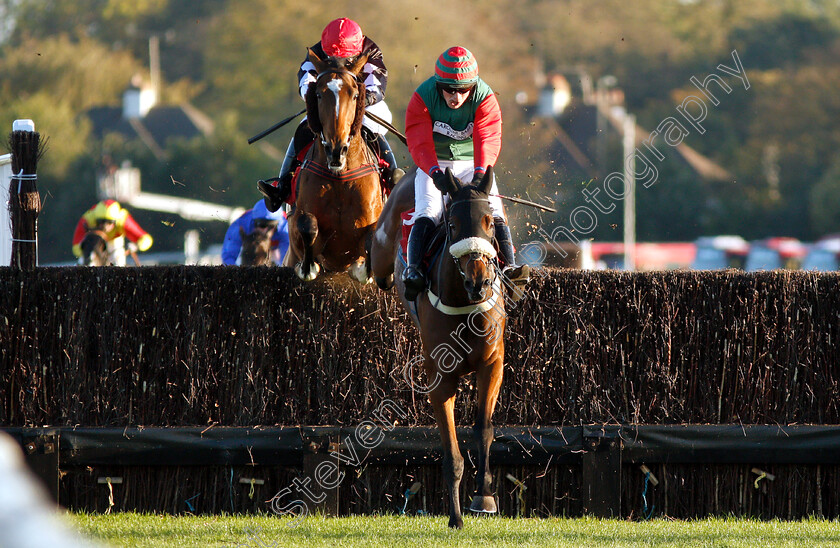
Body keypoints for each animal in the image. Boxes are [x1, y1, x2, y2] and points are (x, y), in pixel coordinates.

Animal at [286, 49, 384, 284]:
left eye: (355, 95)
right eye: (319, 95)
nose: (336, 150)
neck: (340, 178)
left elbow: (371, 239)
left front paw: (362, 271)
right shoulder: (297, 223)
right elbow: (307, 225)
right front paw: (308, 268)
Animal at [370, 166, 508, 528]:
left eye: (490, 222)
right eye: (453, 225)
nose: (479, 281)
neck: (465, 304)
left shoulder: (493, 363)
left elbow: (483, 429)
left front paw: (484, 497)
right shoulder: (440, 377)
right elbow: (451, 451)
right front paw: (455, 517)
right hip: (382, 248)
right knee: (373, 260)